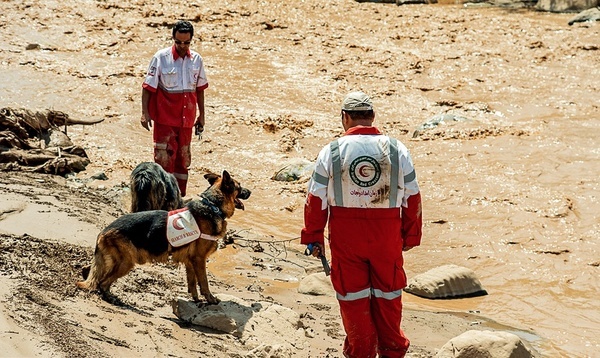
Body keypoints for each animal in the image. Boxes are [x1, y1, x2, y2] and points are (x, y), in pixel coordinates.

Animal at [77, 169, 251, 304]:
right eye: (239, 186)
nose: (250, 192)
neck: (213, 205)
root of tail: (103, 231)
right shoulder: (199, 259)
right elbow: (204, 282)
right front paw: (210, 299)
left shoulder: (190, 261)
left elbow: (192, 283)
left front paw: (195, 300)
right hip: (126, 262)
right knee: (102, 282)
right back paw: (111, 298)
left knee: (95, 276)